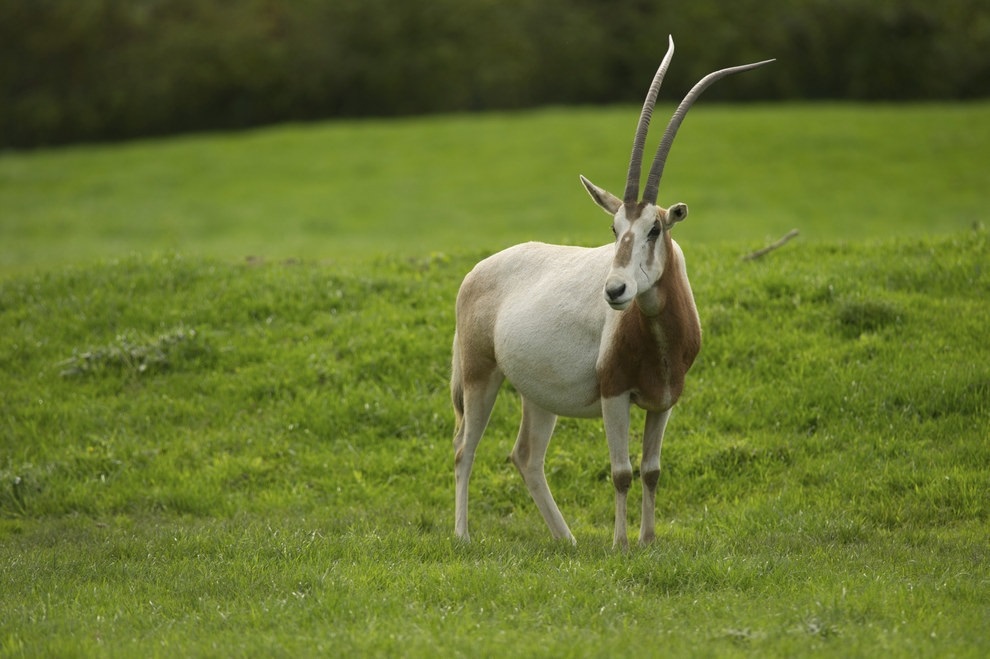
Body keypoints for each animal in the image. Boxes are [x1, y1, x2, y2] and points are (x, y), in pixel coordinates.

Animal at [452, 37, 776, 552]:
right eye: (614, 227)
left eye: (655, 228)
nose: (615, 290)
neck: (659, 334)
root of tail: (475, 273)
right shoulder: (614, 394)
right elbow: (622, 472)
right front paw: (621, 545)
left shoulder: (664, 399)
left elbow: (652, 470)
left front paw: (648, 541)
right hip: (479, 376)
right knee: (466, 448)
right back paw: (463, 536)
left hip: (536, 395)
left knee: (526, 456)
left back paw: (566, 540)